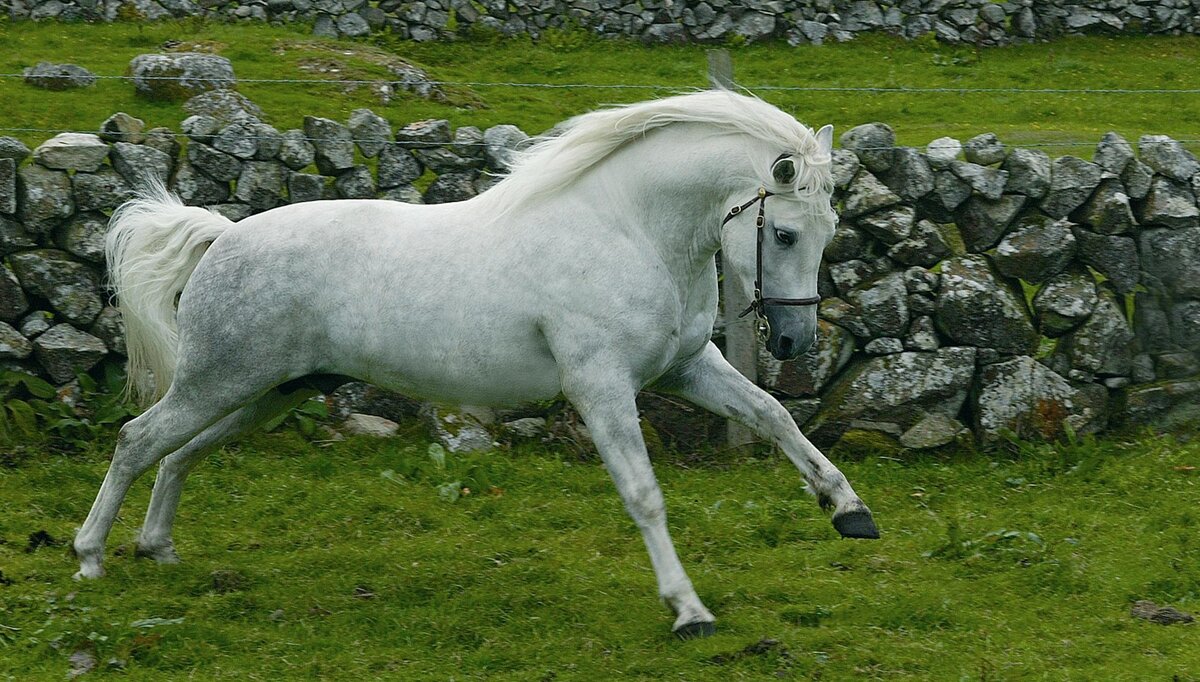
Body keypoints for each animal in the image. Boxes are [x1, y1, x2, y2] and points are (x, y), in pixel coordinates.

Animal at [77, 90, 883, 638]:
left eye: (831, 229)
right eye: (784, 233)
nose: (794, 343)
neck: (628, 229)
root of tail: (222, 236)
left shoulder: (687, 369)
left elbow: (775, 418)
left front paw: (849, 511)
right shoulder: (601, 386)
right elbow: (645, 494)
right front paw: (688, 610)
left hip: (266, 393)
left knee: (181, 453)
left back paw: (157, 548)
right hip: (221, 381)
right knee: (139, 440)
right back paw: (90, 558)